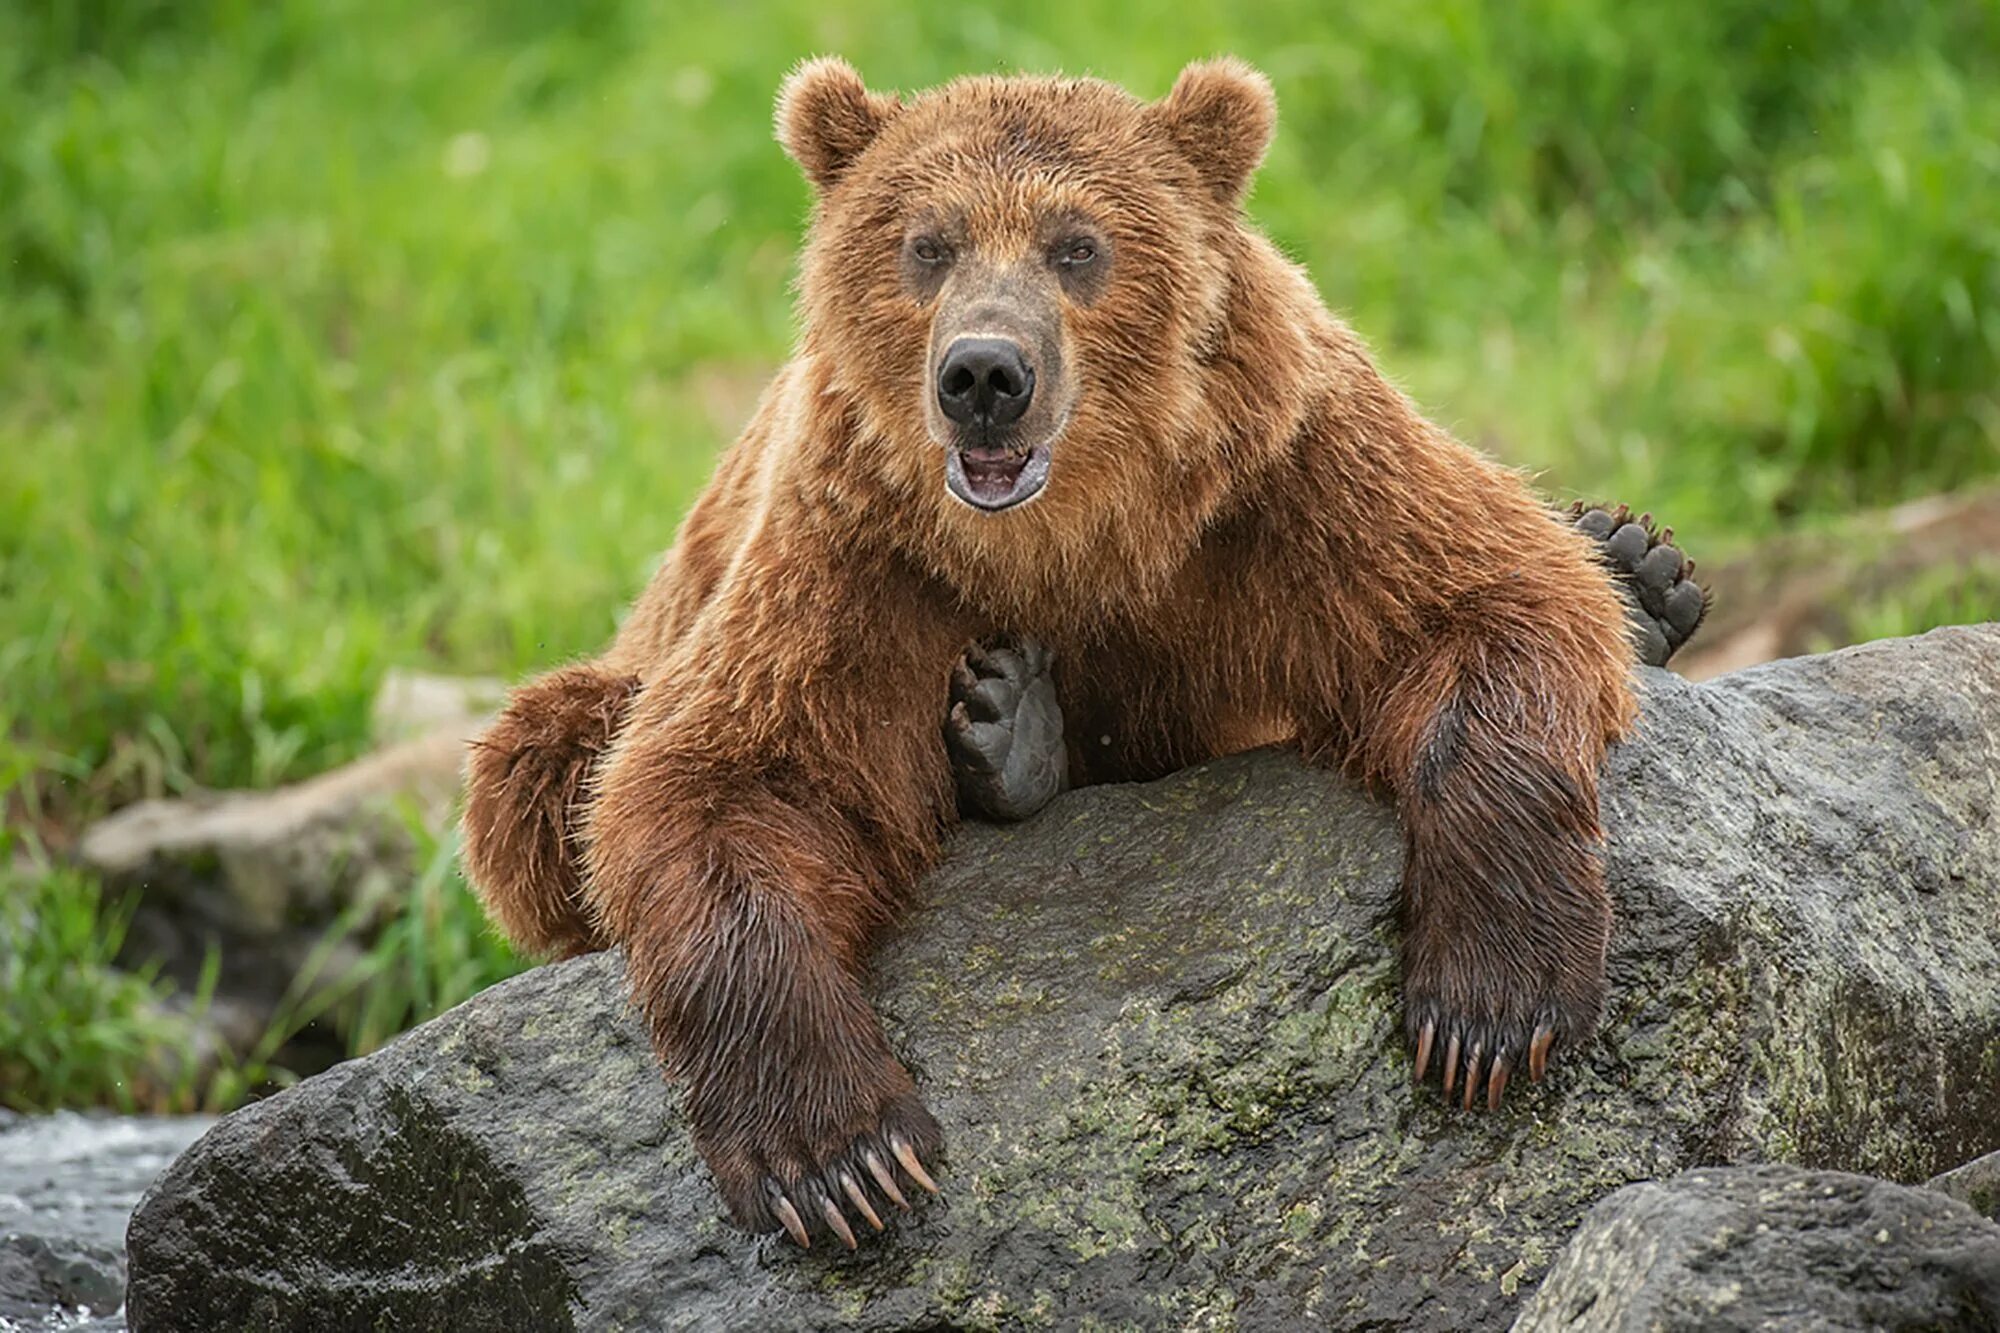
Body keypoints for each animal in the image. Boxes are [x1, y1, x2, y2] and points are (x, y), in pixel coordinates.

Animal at [464, 59, 1704, 1248]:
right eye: (926, 244)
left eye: (1077, 245)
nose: (982, 375)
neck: (1064, 540)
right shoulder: (859, 555)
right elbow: (723, 780)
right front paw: (840, 1157)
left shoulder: (1287, 475)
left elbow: (1490, 605)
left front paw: (1489, 1007)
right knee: (540, 759)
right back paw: (1012, 734)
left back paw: (1637, 569)